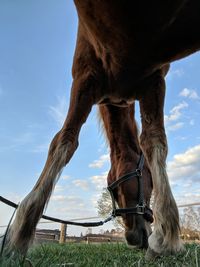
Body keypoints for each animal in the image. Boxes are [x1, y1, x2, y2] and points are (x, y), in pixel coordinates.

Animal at [2, 0, 200, 260]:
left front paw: (166, 237)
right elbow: (64, 141)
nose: (140, 236)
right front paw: (21, 234)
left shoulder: (154, 80)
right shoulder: (85, 78)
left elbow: (154, 141)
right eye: (114, 193)